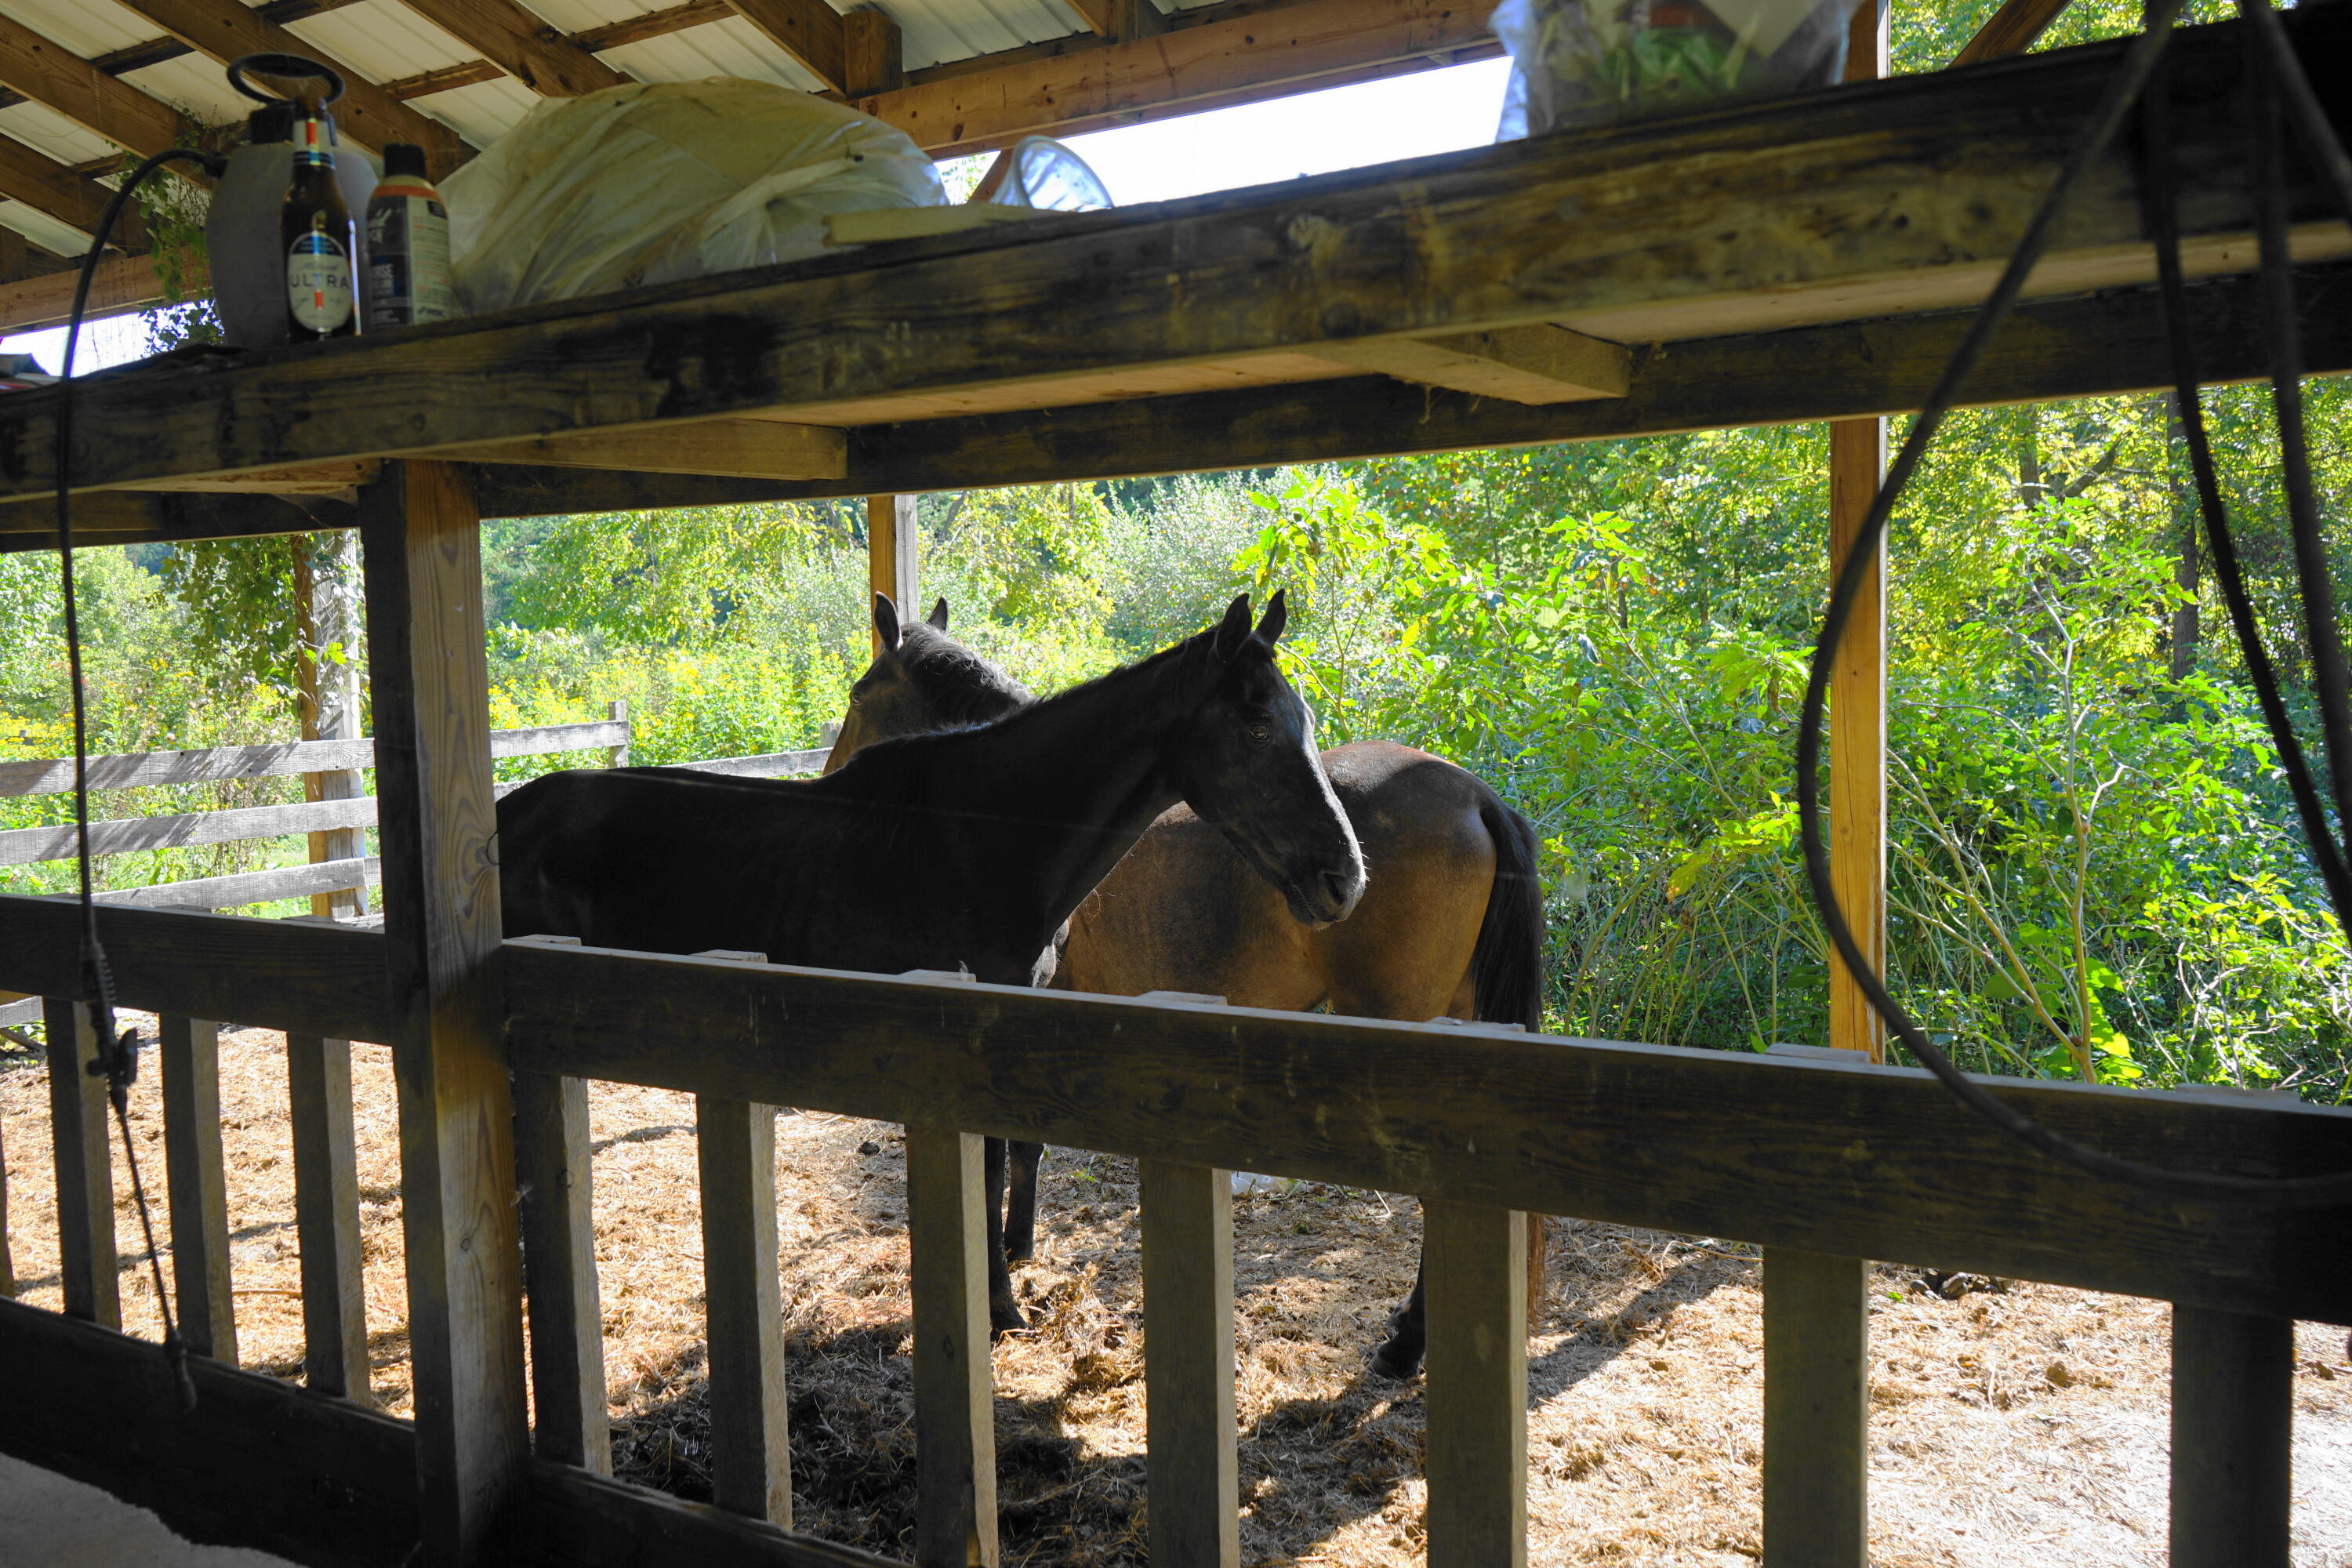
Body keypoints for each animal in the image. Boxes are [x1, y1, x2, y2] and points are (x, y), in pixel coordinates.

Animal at [500, 592, 1365, 1335]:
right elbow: (986, 1168)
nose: (1344, 879)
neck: (982, 832)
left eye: (1301, 718)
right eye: (1255, 727)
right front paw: (1000, 1307)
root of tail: (502, 818)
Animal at [829, 595, 1546, 1378]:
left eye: (859, 695)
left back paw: (1406, 1344)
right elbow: (1025, 1145)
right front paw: (1018, 1245)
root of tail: (1476, 796)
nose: (833, 777)